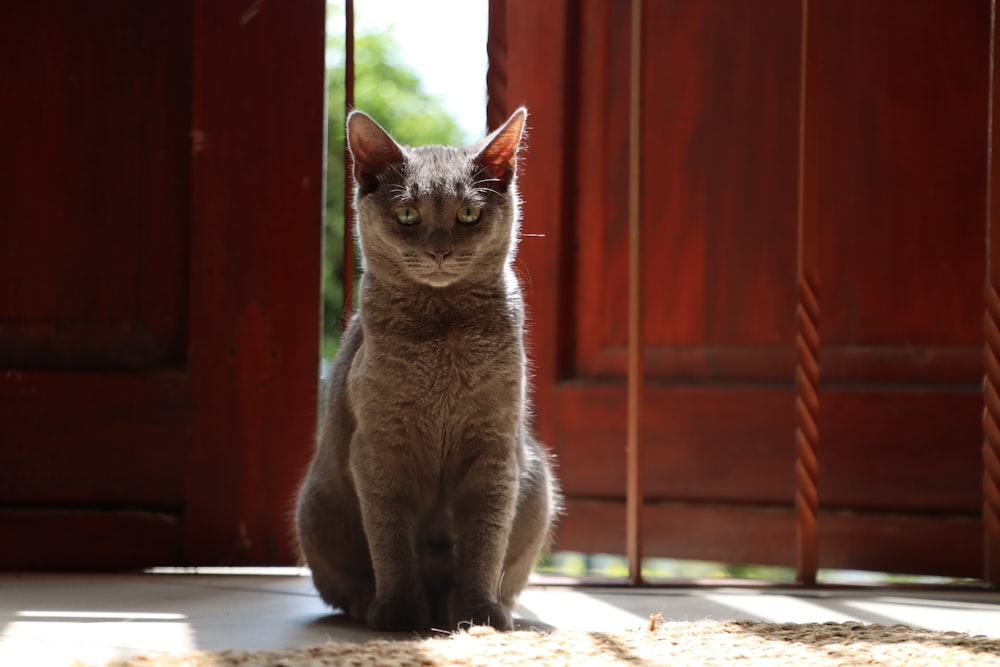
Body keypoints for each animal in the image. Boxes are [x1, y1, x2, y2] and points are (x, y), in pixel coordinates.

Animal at [296, 108, 564, 632]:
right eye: (407, 215)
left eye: (468, 214)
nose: (439, 250)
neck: (443, 339)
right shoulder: (379, 448)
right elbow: (390, 538)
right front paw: (399, 612)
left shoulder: (494, 448)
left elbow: (485, 537)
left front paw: (480, 614)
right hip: (315, 507)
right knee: (342, 586)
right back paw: (371, 604)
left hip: (539, 484)